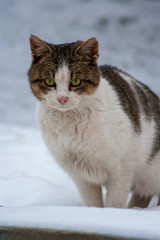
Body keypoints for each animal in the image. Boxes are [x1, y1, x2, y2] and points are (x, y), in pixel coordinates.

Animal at [27, 34, 160, 209]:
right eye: (49, 82)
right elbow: (93, 204)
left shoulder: (122, 168)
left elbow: (114, 204)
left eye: (76, 82)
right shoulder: (81, 175)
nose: (62, 98)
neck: (70, 124)